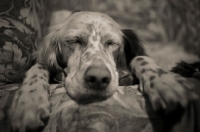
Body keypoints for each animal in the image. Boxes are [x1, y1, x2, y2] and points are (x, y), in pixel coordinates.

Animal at [8, 11, 198, 131]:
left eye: (112, 43)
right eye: (74, 41)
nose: (98, 79)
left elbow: (139, 58)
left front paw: (165, 82)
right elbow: (39, 65)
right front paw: (29, 101)